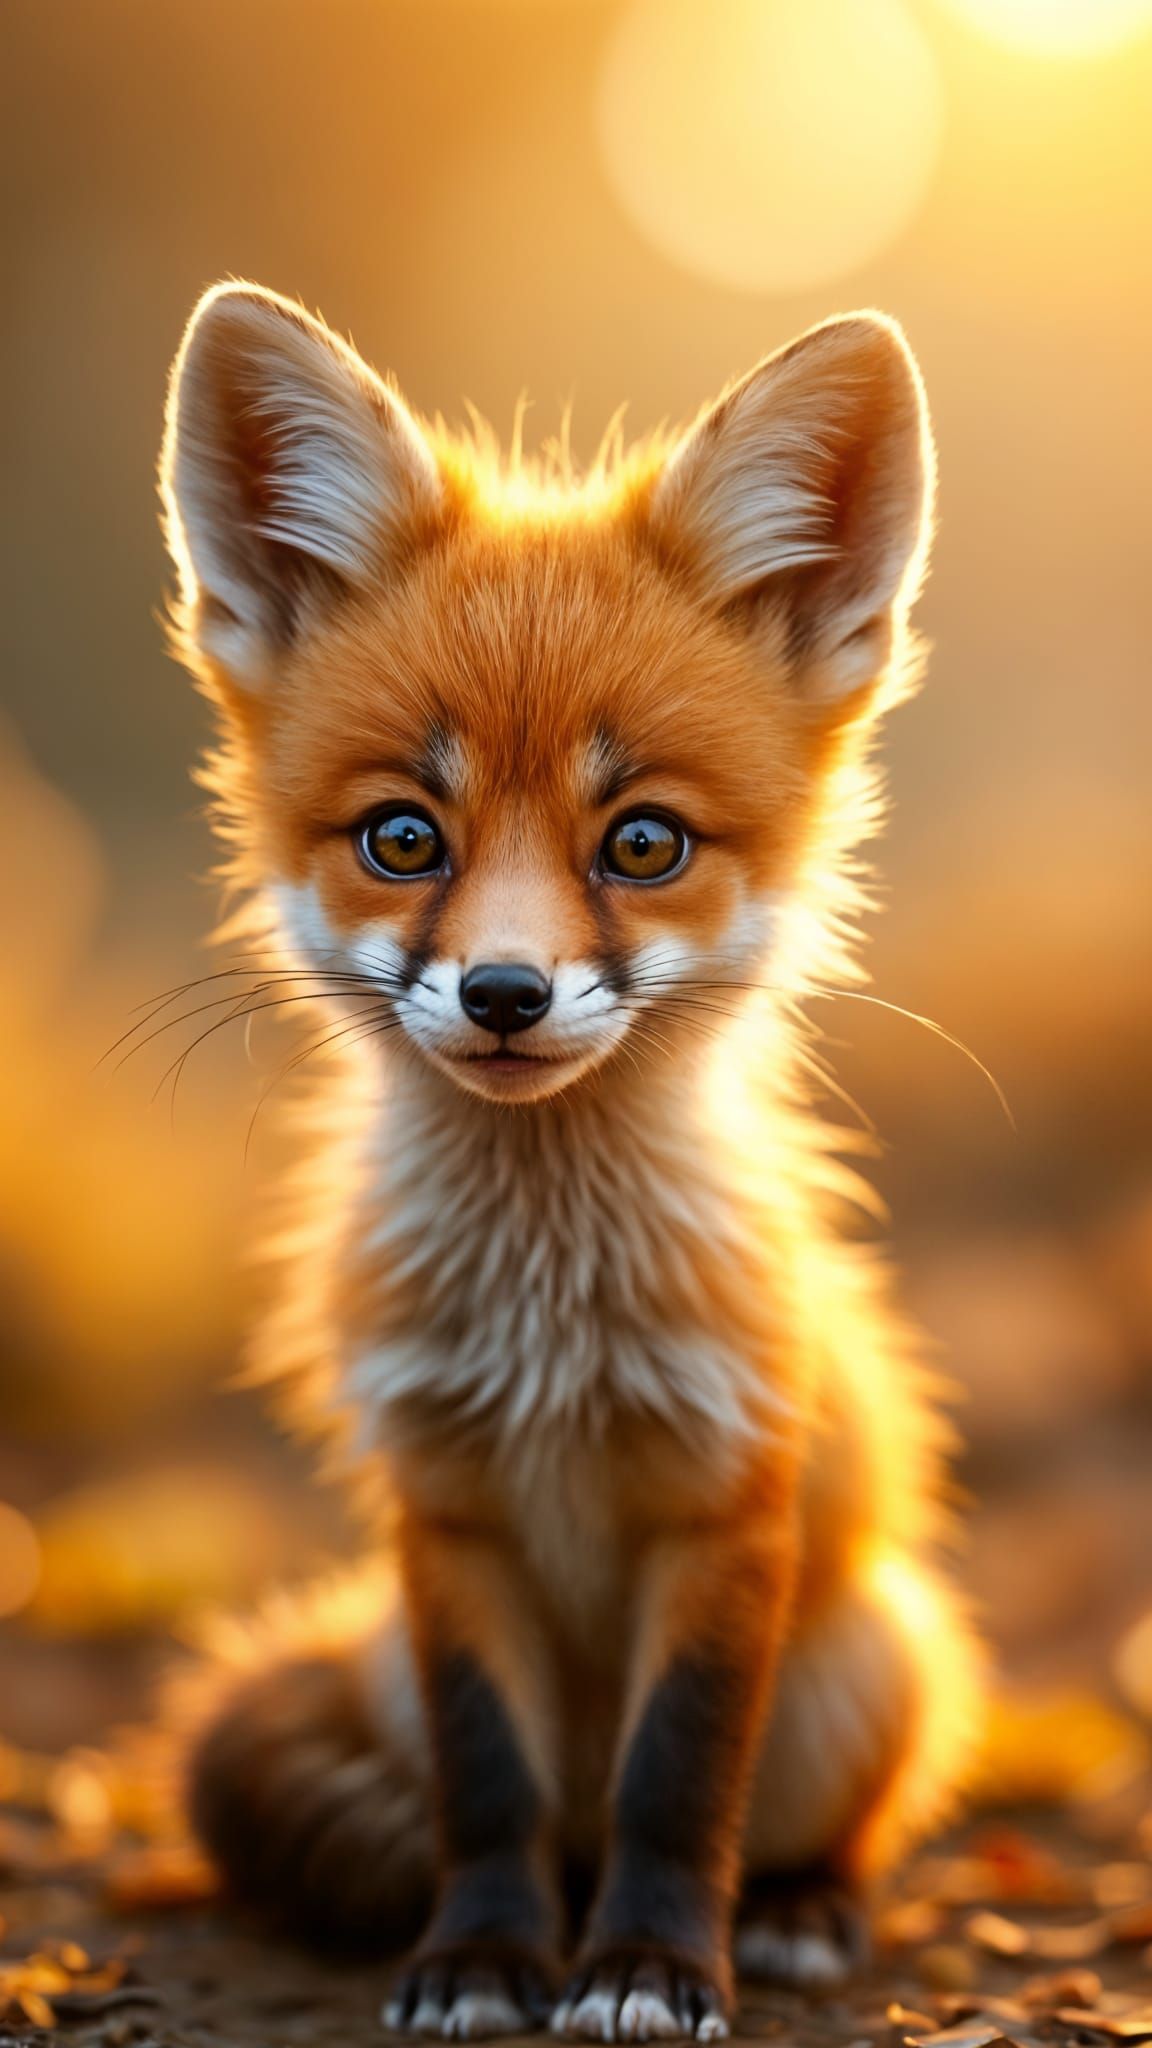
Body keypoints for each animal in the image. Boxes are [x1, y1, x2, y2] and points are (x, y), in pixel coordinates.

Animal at [155, 282, 982, 2043]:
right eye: (405, 837)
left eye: (643, 842)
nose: (505, 994)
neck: (553, 1328)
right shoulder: (445, 1512)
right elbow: (491, 1787)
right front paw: (482, 1961)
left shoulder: (726, 1502)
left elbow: (680, 1780)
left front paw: (651, 1971)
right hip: (393, 1658)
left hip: (878, 1656)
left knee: (811, 1823)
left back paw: (797, 1911)